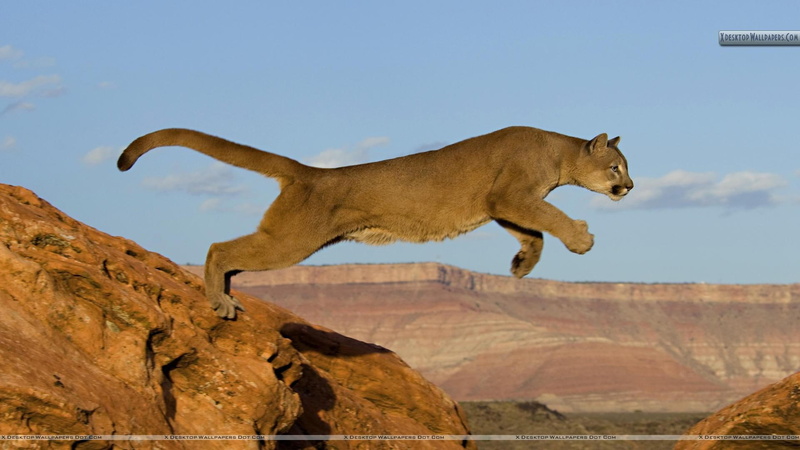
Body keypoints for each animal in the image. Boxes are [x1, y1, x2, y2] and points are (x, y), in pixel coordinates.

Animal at [118, 126, 633, 319]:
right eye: (615, 167)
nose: (629, 187)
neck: (558, 153)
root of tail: (313, 172)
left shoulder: (501, 205)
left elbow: (534, 229)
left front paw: (523, 264)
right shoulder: (508, 194)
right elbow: (549, 216)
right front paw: (581, 239)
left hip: (285, 238)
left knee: (231, 255)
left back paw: (226, 296)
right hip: (290, 241)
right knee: (218, 249)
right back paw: (219, 302)